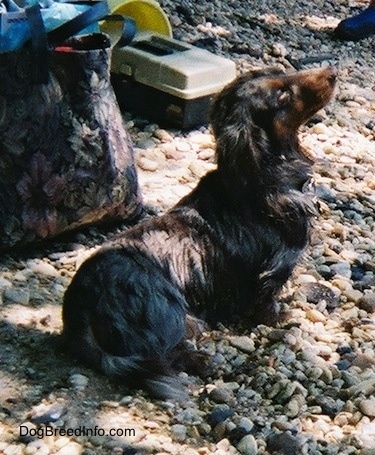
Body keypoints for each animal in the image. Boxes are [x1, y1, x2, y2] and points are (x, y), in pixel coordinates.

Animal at [62, 67, 338, 400]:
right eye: (282, 95)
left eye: (283, 73)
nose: (333, 72)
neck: (269, 177)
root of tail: (81, 309)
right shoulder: (274, 270)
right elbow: (266, 303)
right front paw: (281, 318)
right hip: (170, 309)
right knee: (161, 354)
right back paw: (199, 361)